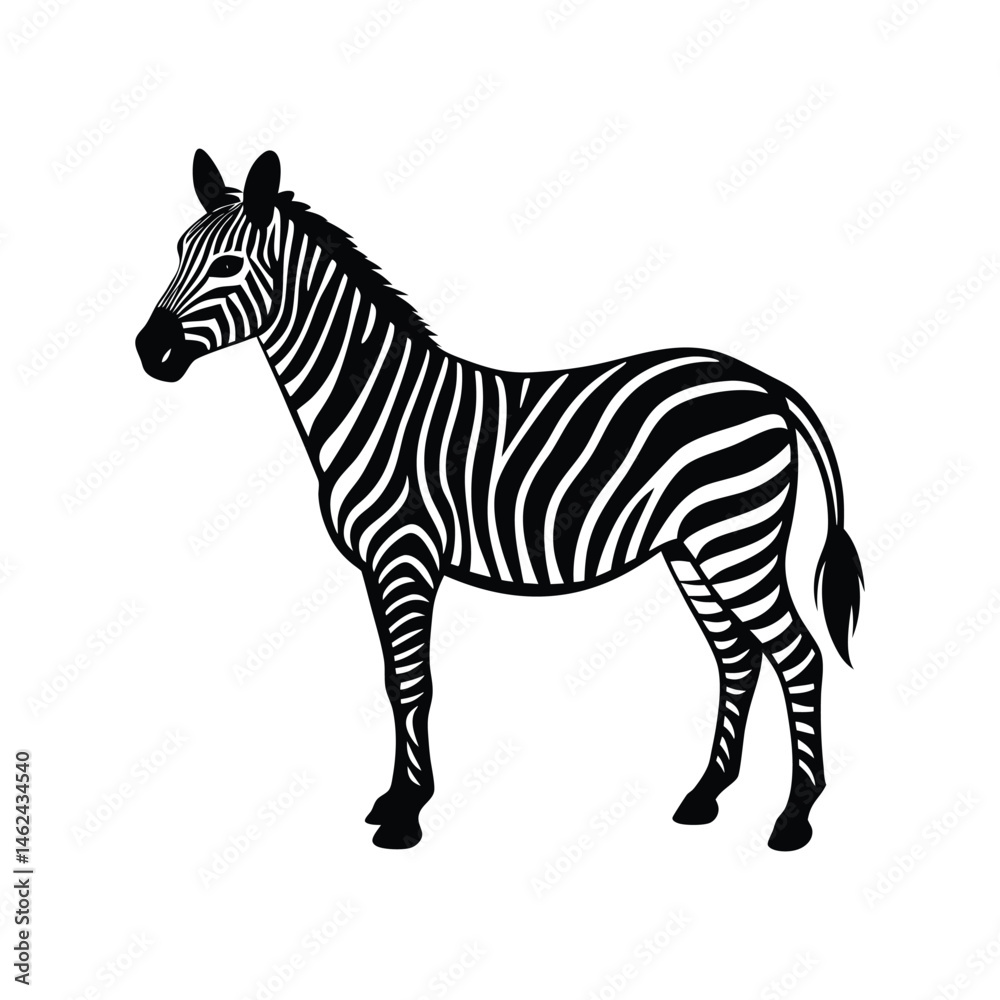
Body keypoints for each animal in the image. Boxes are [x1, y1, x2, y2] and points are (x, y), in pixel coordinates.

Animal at [136, 150, 863, 851]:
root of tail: (763, 382)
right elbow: (391, 683)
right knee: (737, 656)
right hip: (692, 549)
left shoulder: (406, 556)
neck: (373, 402)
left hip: (735, 540)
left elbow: (414, 681)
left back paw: (794, 818)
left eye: (228, 264)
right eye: (176, 251)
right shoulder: (377, 566)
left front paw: (406, 815)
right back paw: (705, 796)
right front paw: (394, 800)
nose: (149, 350)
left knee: (798, 654)